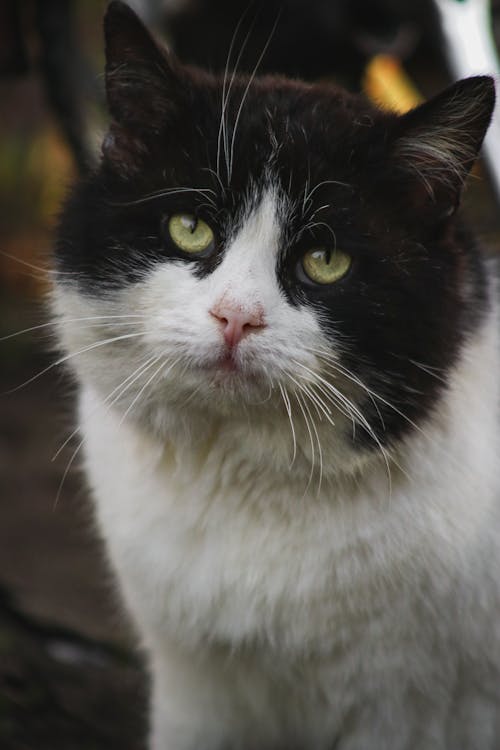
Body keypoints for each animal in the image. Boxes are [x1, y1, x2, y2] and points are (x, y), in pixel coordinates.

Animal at [51, 1, 500, 750]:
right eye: (190, 227)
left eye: (325, 261)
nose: (237, 317)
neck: (243, 476)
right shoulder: (195, 690)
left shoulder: (409, 713)